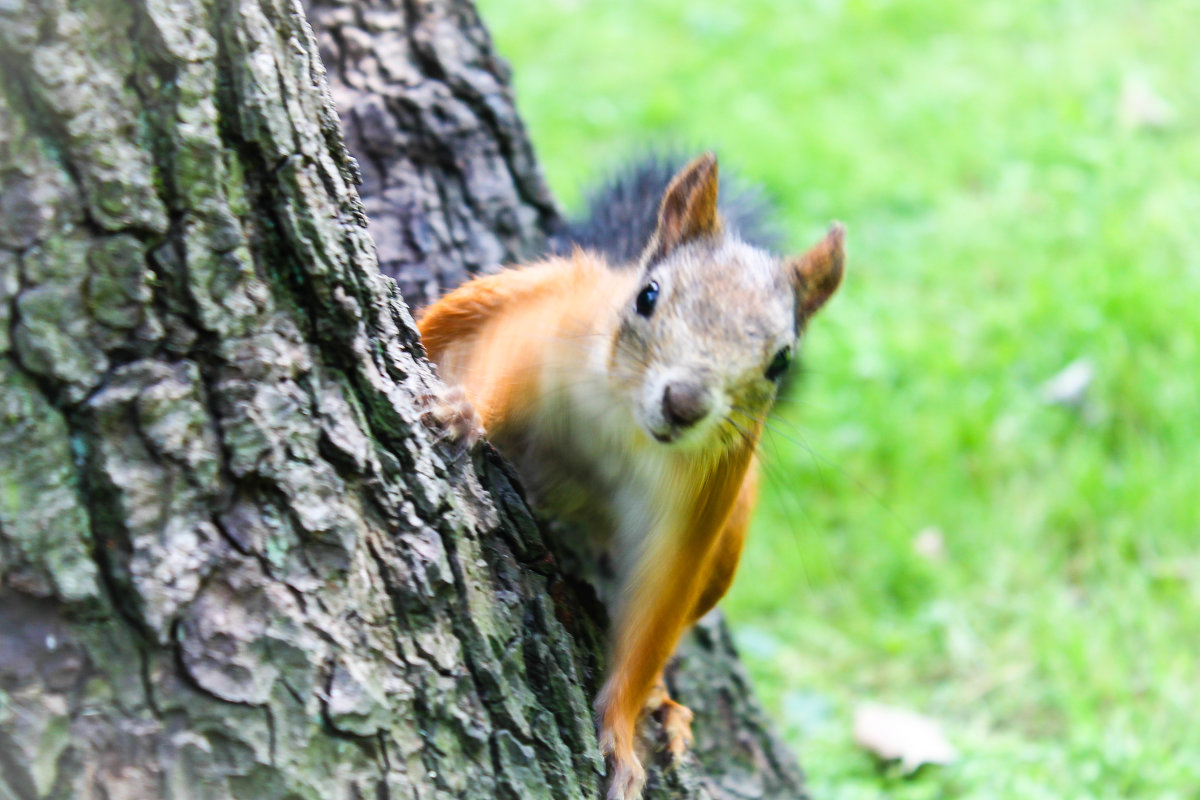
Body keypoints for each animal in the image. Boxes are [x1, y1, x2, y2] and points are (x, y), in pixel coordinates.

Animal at [417, 153, 840, 796]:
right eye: (648, 296)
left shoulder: (702, 497)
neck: (623, 419)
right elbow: (498, 358)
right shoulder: (547, 330)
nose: (684, 404)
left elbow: (656, 610)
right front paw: (464, 410)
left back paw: (664, 702)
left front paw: (621, 726)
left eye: (781, 360)